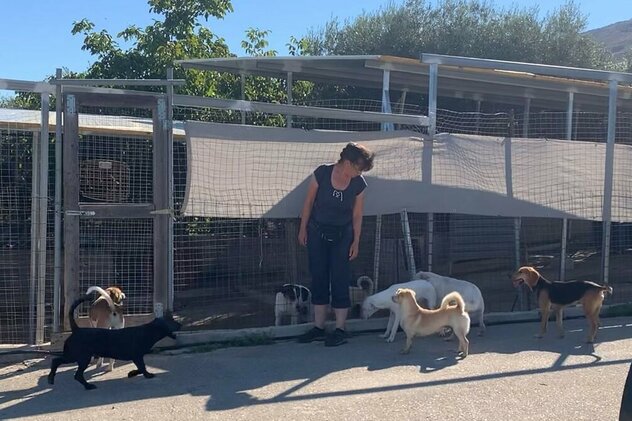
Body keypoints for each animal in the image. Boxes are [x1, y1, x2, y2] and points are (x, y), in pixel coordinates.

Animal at [48, 294, 181, 388]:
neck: (148, 331)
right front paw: (148, 375)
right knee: (73, 372)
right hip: (79, 356)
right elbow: (142, 367)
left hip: (76, 356)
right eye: (172, 322)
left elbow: (139, 368)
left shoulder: (136, 357)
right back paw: (88, 386)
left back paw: (51, 379)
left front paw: (132, 373)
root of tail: (76, 329)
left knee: (57, 361)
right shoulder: (137, 356)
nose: (180, 324)